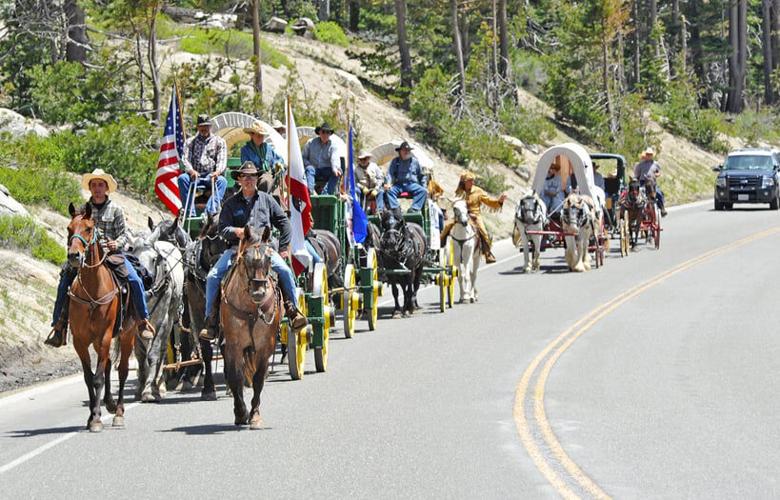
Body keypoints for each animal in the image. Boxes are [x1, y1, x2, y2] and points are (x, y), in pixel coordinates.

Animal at [66, 201, 136, 432]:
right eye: (69, 228)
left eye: (89, 228)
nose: (74, 256)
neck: (92, 290)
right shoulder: (80, 341)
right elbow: (89, 377)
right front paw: (91, 416)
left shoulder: (105, 336)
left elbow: (97, 378)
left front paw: (96, 418)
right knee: (107, 365)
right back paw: (110, 403)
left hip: (127, 335)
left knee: (122, 370)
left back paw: (119, 412)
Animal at [128, 234, 184, 402]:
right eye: (134, 258)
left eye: (154, 259)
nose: (145, 281)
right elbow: (140, 355)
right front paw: (140, 388)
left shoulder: (161, 319)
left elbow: (153, 354)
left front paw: (149, 390)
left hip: (170, 317)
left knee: (162, 351)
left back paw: (160, 385)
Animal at [219, 225, 280, 428]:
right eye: (245, 258)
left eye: (269, 258)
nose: (259, 292)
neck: (252, 309)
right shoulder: (233, 345)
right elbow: (235, 376)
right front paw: (240, 412)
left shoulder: (265, 346)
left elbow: (258, 379)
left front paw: (254, 414)